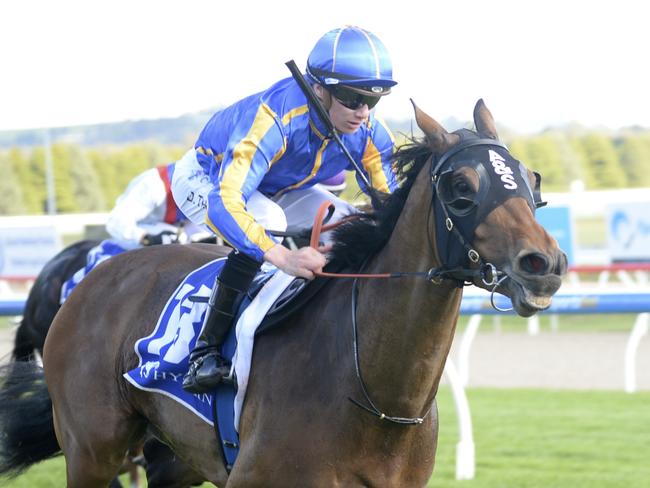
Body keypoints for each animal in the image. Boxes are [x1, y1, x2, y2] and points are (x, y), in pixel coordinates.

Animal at [0, 100, 560, 488]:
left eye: (529, 179)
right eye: (462, 187)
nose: (545, 264)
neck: (376, 394)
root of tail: (88, 281)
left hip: (172, 460)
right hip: (92, 450)